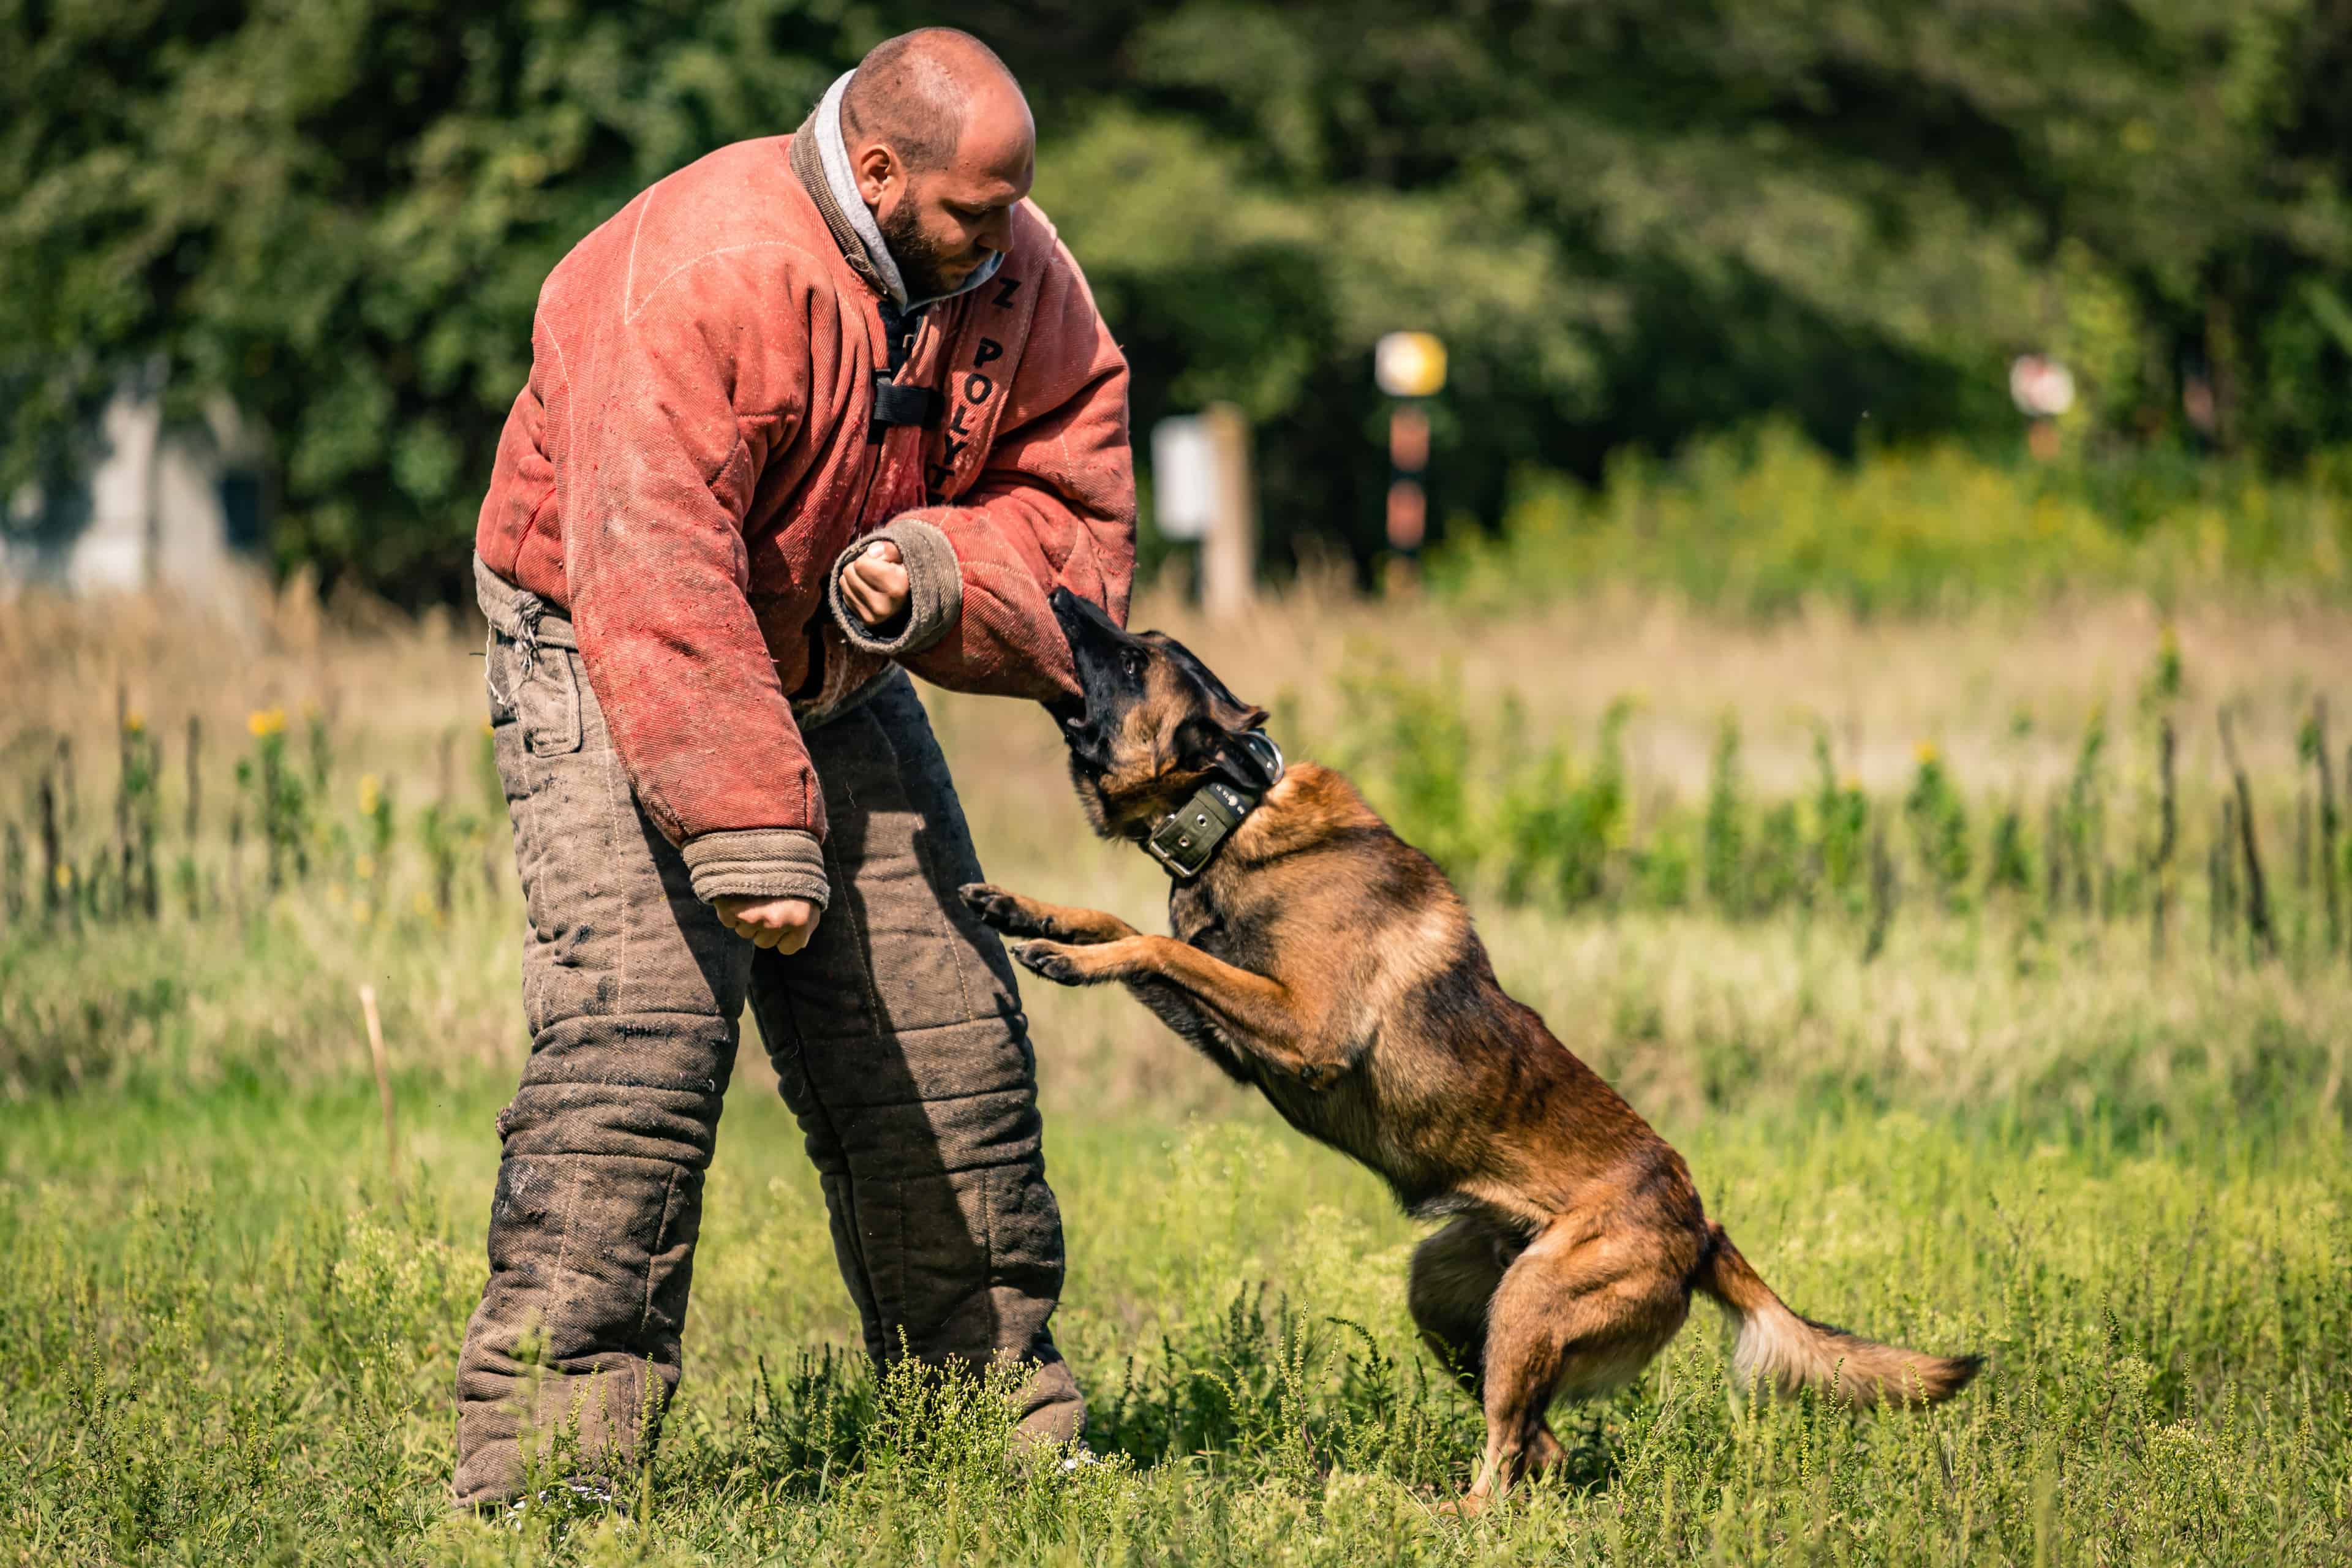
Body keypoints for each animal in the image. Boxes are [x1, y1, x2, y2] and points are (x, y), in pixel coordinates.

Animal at [964, 585, 1975, 1504]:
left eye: (1136, 659)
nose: (1063, 595)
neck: (1238, 811)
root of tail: (1701, 1226)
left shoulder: (1303, 1030)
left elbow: (1157, 942)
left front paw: (1064, 954)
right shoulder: (1237, 1038)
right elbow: (1127, 927)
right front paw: (1030, 912)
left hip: (1528, 1306)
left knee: (1505, 1462)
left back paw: (1427, 1511)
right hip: (1454, 1299)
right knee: (1538, 1444)